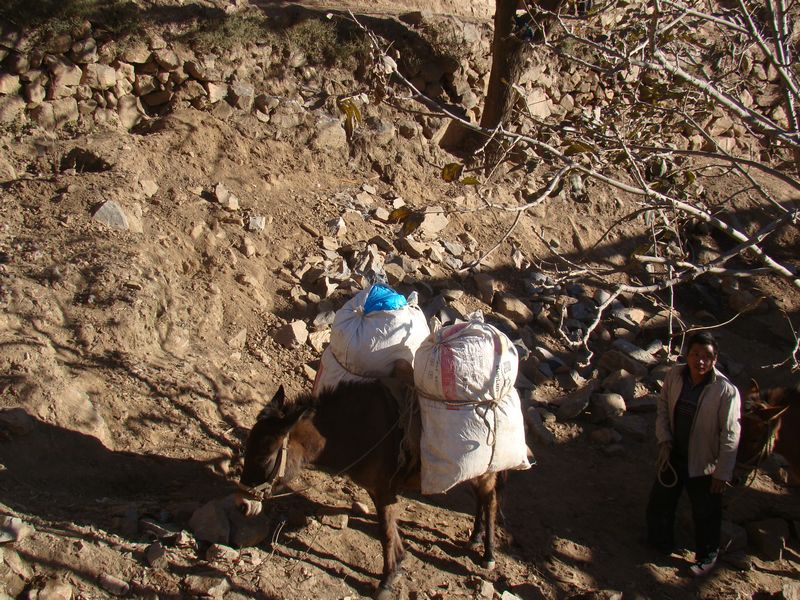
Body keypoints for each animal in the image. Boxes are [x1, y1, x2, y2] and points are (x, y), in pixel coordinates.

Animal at [237, 379, 503, 599]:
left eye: (264, 458)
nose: (243, 505)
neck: (352, 430)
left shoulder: (384, 491)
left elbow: (385, 532)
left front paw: (386, 580)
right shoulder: (379, 491)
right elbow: (389, 530)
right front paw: (397, 565)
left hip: (484, 472)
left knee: (490, 501)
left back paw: (488, 554)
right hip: (470, 472)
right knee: (480, 498)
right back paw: (475, 538)